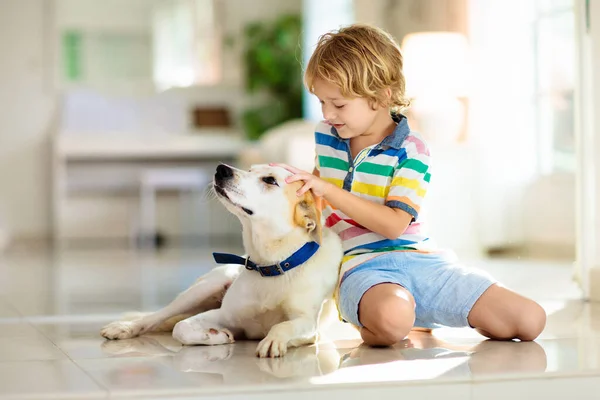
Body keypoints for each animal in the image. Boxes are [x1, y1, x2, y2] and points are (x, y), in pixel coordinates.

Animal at [103, 164, 342, 358]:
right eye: (250, 169)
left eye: (270, 180)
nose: (221, 168)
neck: (272, 265)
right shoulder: (224, 315)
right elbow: (181, 327)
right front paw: (216, 336)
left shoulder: (309, 324)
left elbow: (284, 326)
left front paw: (273, 340)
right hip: (204, 287)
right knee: (158, 316)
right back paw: (126, 327)